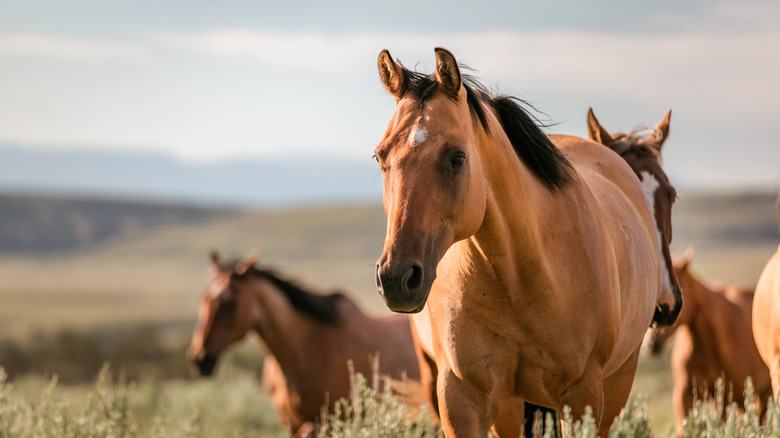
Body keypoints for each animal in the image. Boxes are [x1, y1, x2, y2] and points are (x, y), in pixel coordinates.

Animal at [187, 252, 420, 436]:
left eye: (231, 303)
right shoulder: (288, 424)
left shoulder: (325, 423)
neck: (308, 349)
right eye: (202, 299)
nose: (200, 360)